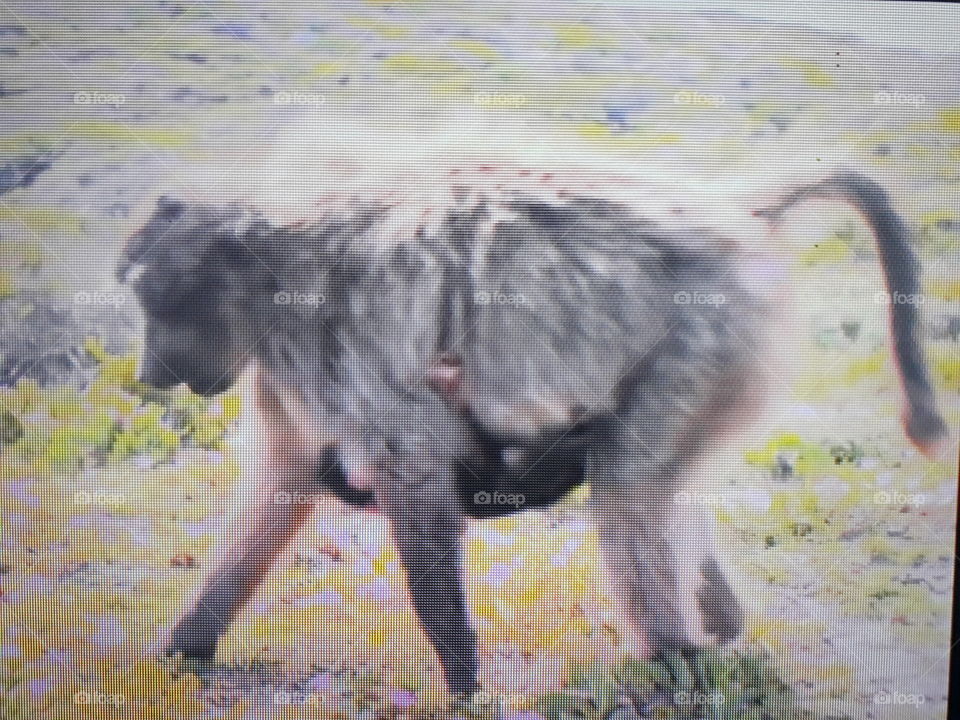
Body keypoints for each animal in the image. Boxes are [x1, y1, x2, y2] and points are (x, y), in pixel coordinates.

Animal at [118, 169, 948, 695]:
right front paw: (183, 650)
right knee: (653, 484)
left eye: (161, 307)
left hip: (708, 334)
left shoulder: (321, 355)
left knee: (627, 488)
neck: (274, 265)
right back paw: (718, 625)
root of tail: (732, 220)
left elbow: (412, 476)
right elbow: (284, 490)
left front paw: (461, 685)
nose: (151, 371)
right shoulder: (280, 374)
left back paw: (674, 667)